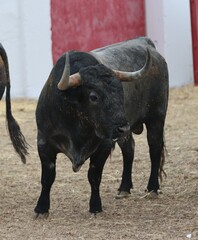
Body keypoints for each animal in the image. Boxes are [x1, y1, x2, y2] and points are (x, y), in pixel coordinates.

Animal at [34, 37, 169, 216]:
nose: (123, 128)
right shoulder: (44, 143)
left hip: (156, 118)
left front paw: (95, 206)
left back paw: (153, 188)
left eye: (121, 92)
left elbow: (94, 175)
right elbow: (47, 177)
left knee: (154, 149)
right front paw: (41, 208)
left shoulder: (104, 145)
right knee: (129, 150)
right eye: (93, 97)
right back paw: (124, 188)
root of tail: (144, 42)